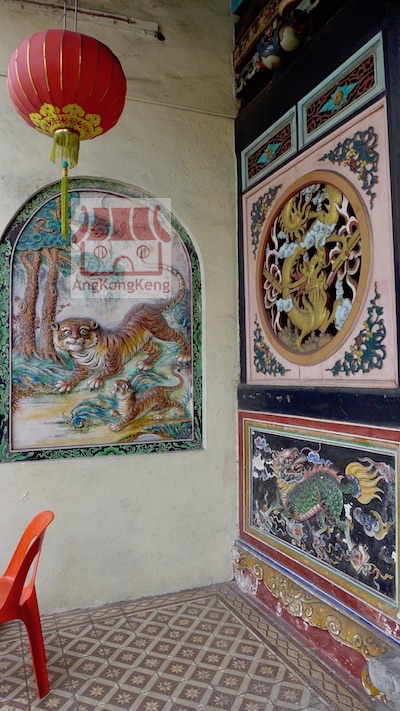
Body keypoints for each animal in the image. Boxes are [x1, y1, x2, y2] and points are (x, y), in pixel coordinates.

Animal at [51, 267, 190, 393]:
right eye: (67, 332)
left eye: (83, 331)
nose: (75, 337)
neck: (84, 353)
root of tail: (150, 305)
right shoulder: (82, 368)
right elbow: (75, 376)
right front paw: (65, 383)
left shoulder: (114, 365)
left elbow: (103, 372)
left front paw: (95, 381)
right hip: (144, 344)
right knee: (157, 350)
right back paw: (146, 364)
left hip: (159, 329)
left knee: (178, 334)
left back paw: (184, 355)